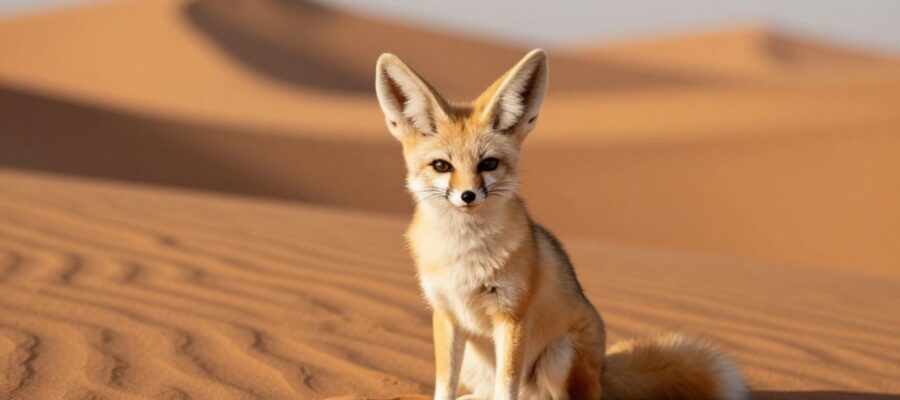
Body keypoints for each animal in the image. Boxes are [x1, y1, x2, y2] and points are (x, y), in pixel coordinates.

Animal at [374, 49, 749, 400]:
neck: (463, 254)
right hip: (477, 362)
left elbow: (506, 387)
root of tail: (603, 372)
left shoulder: (512, 315)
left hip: (558, 355)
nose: (468, 196)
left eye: (488, 164)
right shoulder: (446, 314)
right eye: (441, 166)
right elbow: (445, 385)